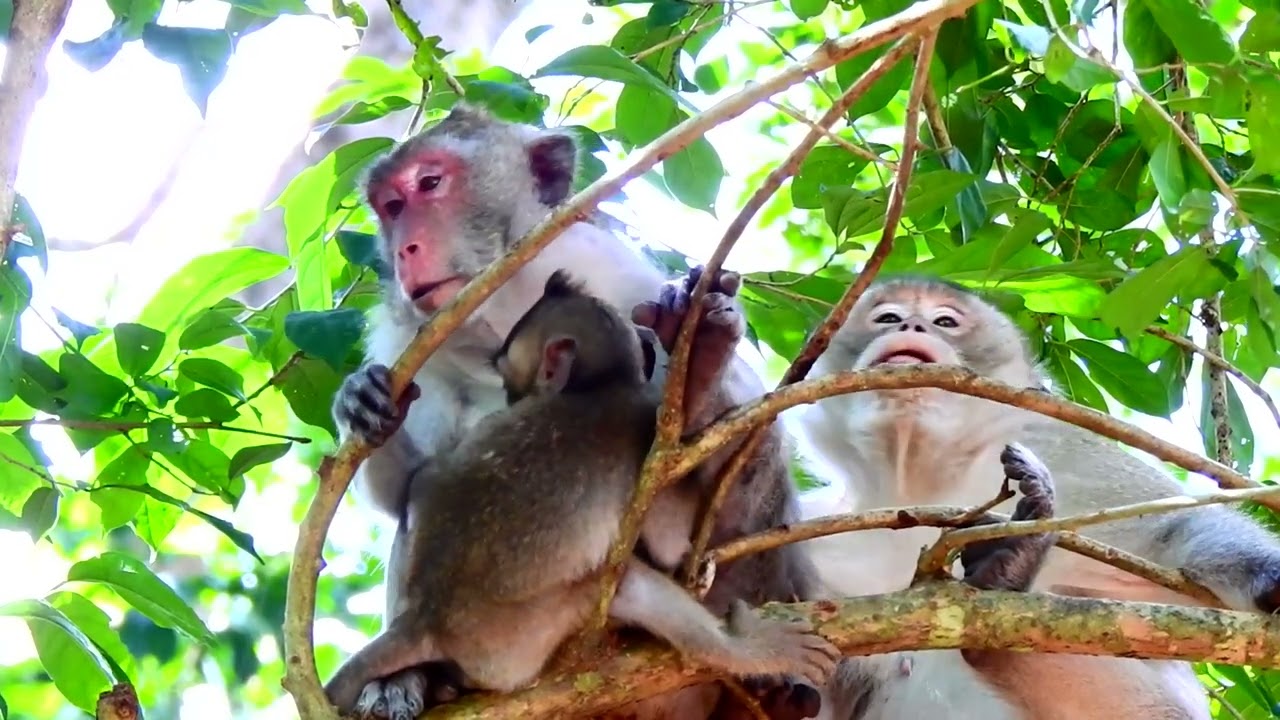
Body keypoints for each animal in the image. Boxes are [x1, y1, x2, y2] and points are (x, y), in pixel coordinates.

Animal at [330, 104, 829, 719]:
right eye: (391, 207)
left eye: (429, 183)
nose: (404, 251)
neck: (506, 300)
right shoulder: (410, 337)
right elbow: (405, 489)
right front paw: (361, 399)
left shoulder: (606, 265)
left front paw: (702, 359)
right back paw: (412, 682)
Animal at [790, 274, 1280, 718]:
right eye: (887, 318)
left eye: (945, 321)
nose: (911, 325)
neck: (916, 480)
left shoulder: (1065, 449)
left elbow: (1175, 532)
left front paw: (1270, 577)